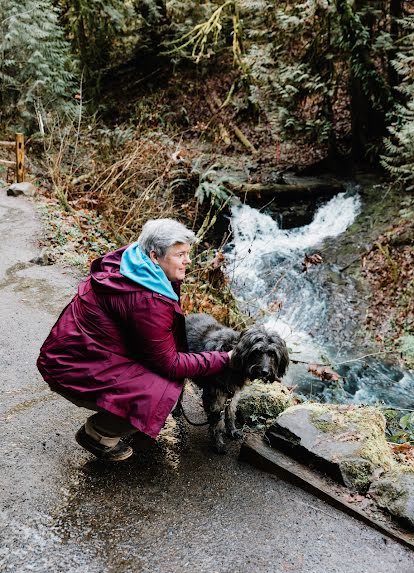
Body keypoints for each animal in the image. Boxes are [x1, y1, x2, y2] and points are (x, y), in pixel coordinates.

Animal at [186, 312, 290, 452]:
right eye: (256, 352)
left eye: (272, 353)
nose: (265, 372)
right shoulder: (216, 397)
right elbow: (217, 421)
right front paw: (218, 443)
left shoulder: (233, 394)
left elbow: (230, 414)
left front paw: (232, 431)